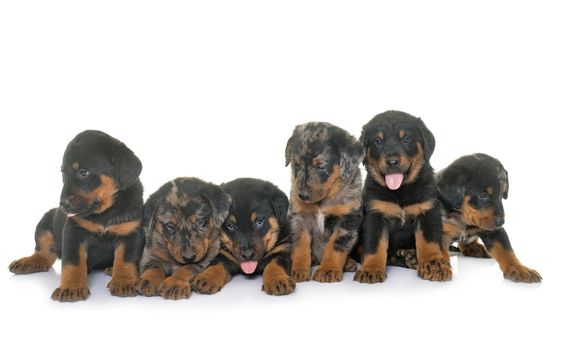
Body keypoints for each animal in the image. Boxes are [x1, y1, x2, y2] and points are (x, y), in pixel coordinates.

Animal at [8, 130, 144, 302]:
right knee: (44, 253)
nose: (62, 203)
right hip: (45, 222)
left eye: (83, 172)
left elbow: (125, 261)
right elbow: (73, 263)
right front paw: (71, 287)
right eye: (63, 174)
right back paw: (28, 262)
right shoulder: (74, 233)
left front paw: (123, 282)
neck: (104, 213)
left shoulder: (130, 233)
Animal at [284, 121, 364, 284]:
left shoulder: (347, 218)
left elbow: (335, 245)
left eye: (320, 165)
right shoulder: (299, 217)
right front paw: (299, 270)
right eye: (296, 164)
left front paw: (328, 270)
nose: (302, 195)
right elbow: (300, 245)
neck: (323, 201)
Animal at [354, 110, 450, 284]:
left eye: (406, 139)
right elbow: (374, 244)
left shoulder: (428, 211)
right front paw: (371, 269)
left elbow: (429, 242)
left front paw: (433, 265)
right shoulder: (375, 214)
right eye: (378, 141)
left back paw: (411, 257)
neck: (400, 191)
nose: (392, 161)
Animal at [436, 153, 540, 282]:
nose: (501, 222)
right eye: (483, 195)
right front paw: (439, 267)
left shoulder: (495, 232)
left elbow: (507, 250)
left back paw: (473, 247)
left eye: (502, 194)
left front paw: (520, 269)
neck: (464, 219)